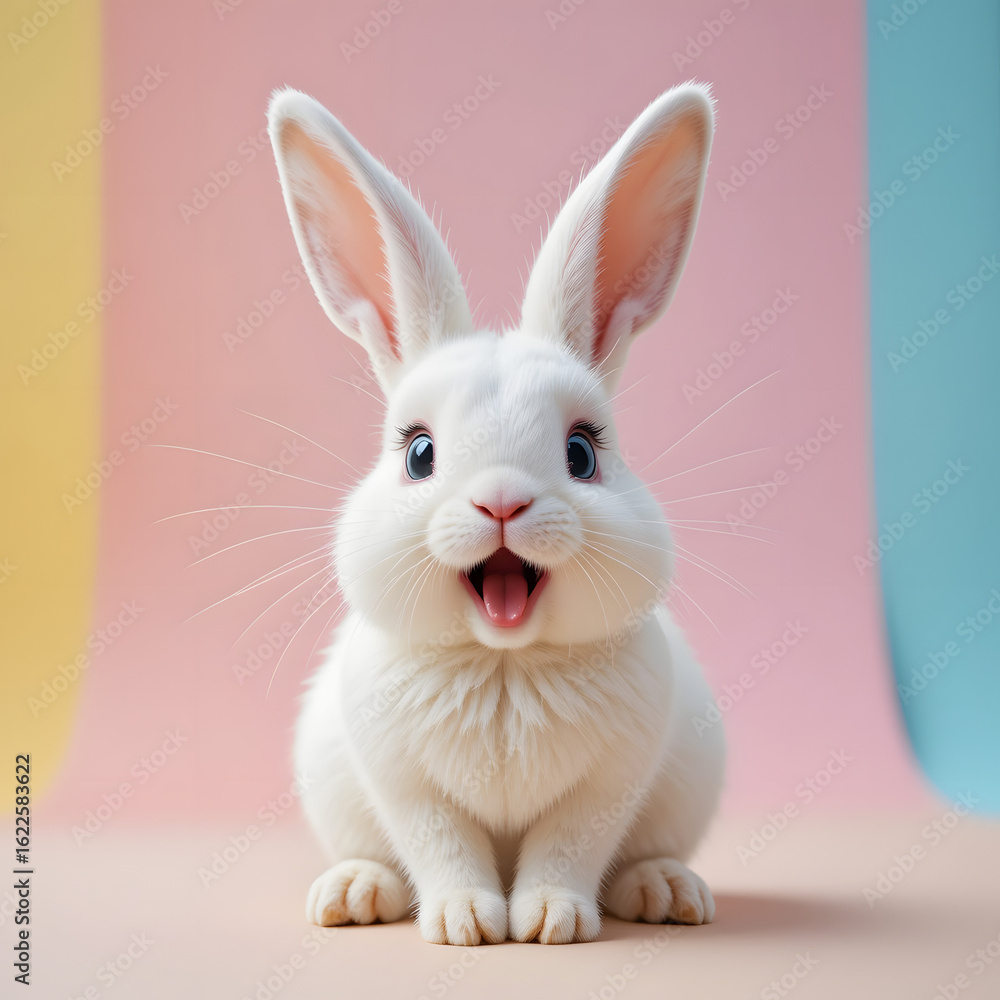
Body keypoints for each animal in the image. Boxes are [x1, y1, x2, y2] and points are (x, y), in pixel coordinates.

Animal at [267, 79, 725, 946]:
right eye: (418, 453)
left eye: (582, 452)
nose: (503, 500)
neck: (506, 664)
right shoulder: (404, 783)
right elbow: (441, 846)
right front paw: (468, 923)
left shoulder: (608, 783)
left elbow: (568, 847)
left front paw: (549, 920)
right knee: (374, 856)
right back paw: (351, 894)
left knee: (641, 856)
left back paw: (666, 891)